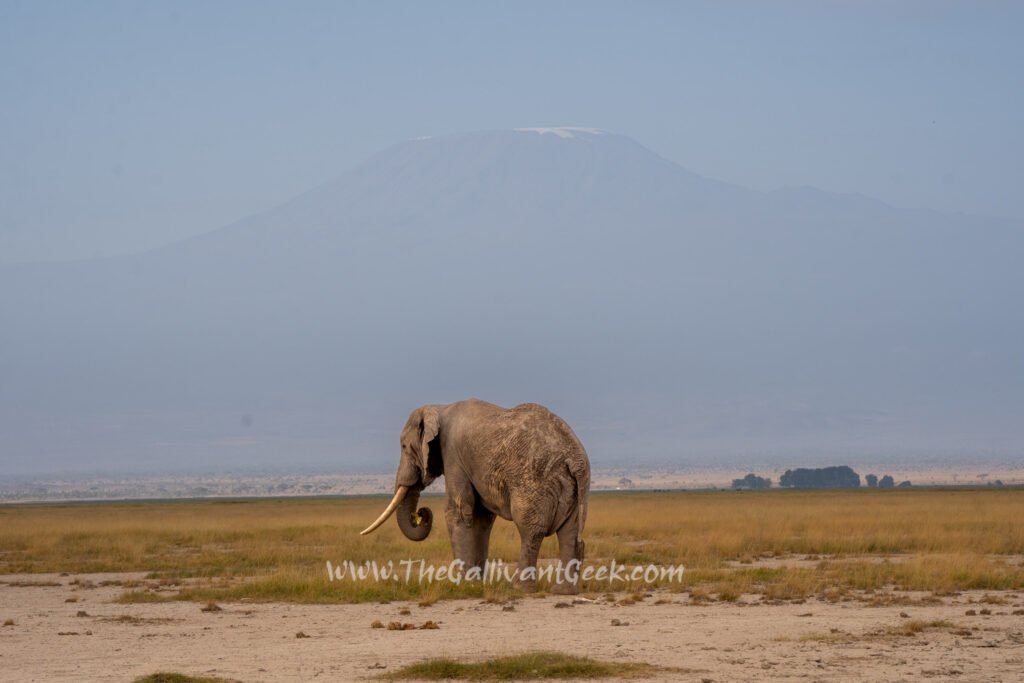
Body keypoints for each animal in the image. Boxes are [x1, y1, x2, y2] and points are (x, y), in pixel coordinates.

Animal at [360, 399, 590, 594]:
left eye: (404, 446)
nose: (422, 513)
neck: (440, 408)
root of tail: (575, 457)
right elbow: (481, 518)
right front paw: (476, 583)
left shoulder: (453, 455)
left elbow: (458, 511)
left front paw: (463, 584)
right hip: (575, 485)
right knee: (569, 532)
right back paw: (563, 591)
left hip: (535, 480)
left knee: (530, 529)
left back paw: (519, 588)